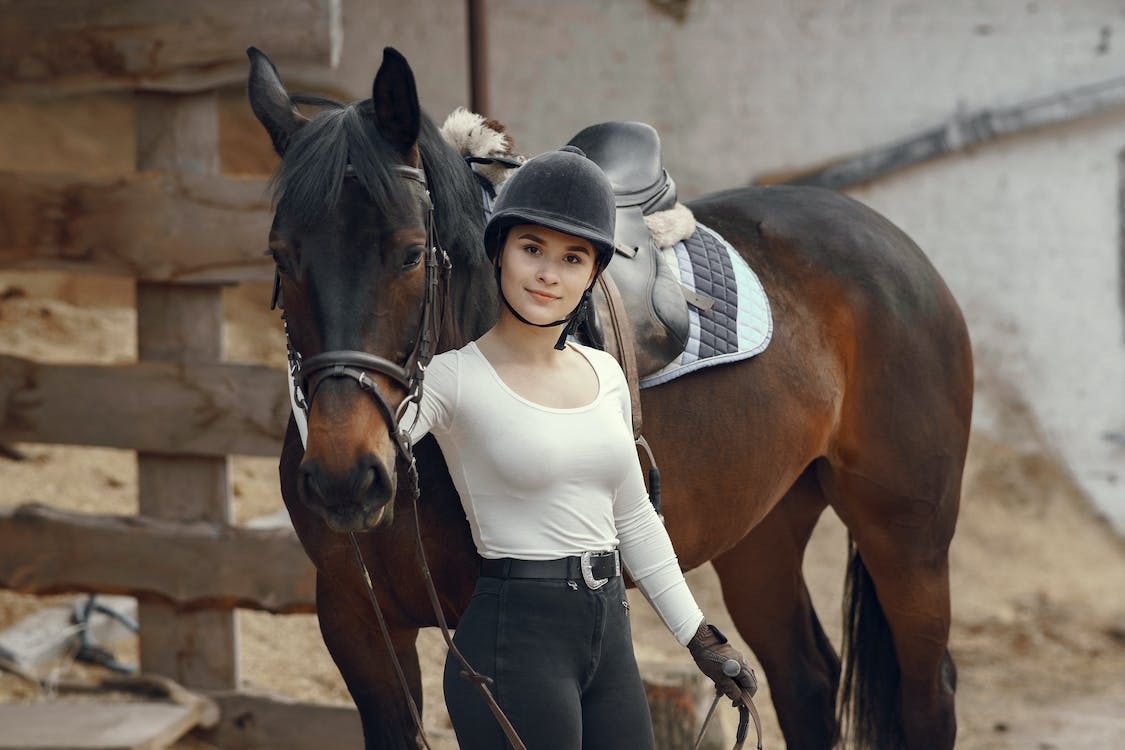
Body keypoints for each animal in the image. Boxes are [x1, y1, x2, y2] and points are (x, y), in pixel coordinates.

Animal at [250, 46, 972, 750]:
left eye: (407, 254)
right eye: (280, 255)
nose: (346, 477)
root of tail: (887, 239)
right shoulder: (358, 622)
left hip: (906, 536)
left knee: (927, 696)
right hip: (761, 528)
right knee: (806, 684)